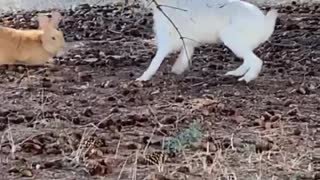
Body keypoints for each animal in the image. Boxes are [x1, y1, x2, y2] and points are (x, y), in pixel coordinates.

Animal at [137, 0, 278, 83]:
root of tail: (263, 24)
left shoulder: (166, 40)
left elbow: (156, 59)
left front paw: (142, 78)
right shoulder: (187, 41)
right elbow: (185, 54)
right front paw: (177, 69)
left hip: (232, 39)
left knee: (256, 61)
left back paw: (246, 79)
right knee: (248, 60)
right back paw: (234, 74)